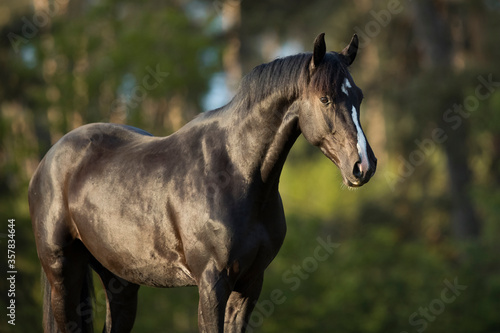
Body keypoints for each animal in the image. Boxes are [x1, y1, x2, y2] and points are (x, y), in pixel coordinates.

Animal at [28, 33, 376, 332]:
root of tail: (48, 160)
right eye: (325, 98)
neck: (234, 173)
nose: (364, 165)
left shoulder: (251, 283)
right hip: (63, 272)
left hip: (120, 282)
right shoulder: (212, 283)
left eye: (358, 96)